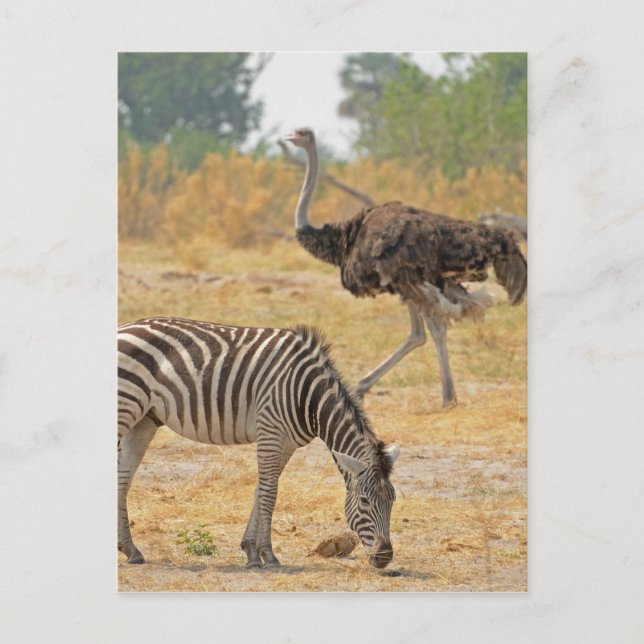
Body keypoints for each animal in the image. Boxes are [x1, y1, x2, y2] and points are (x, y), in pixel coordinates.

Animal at [118, 317, 400, 569]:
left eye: (392, 501)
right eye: (364, 501)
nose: (385, 557)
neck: (309, 395)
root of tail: (125, 327)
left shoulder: (286, 442)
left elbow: (262, 489)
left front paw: (251, 552)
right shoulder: (270, 430)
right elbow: (269, 493)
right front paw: (267, 555)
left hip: (144, 419)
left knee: (123, 477)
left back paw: (130, 550)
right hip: (126, 406)